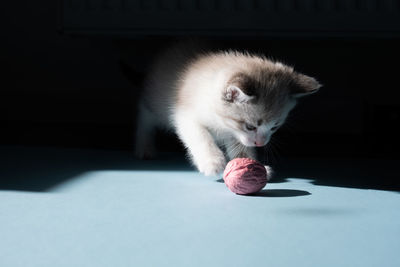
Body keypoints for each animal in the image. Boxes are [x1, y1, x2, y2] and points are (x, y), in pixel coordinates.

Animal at [134, 43, 322, 177]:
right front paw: (212, 161)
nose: (261, 143)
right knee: (144, 115)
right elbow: (201, 136)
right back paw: (144, 147)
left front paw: (253, 164)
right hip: (155, 103)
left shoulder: (235, 134)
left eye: (275, 127)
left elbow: (242, 147)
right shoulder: (183, 115)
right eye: (250, 126)